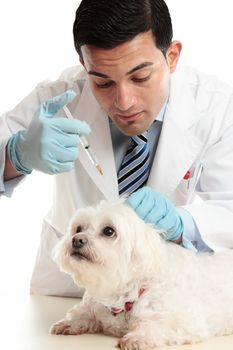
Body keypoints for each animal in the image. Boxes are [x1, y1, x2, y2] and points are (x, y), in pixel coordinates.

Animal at [50, 201, 233, 348]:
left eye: (109, 231)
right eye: (78, 228)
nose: (76, 240)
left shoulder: (187, 323)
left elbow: (159, 325)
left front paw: (138, 336)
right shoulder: (94, 304)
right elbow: (82, 312)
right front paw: (70, 322)